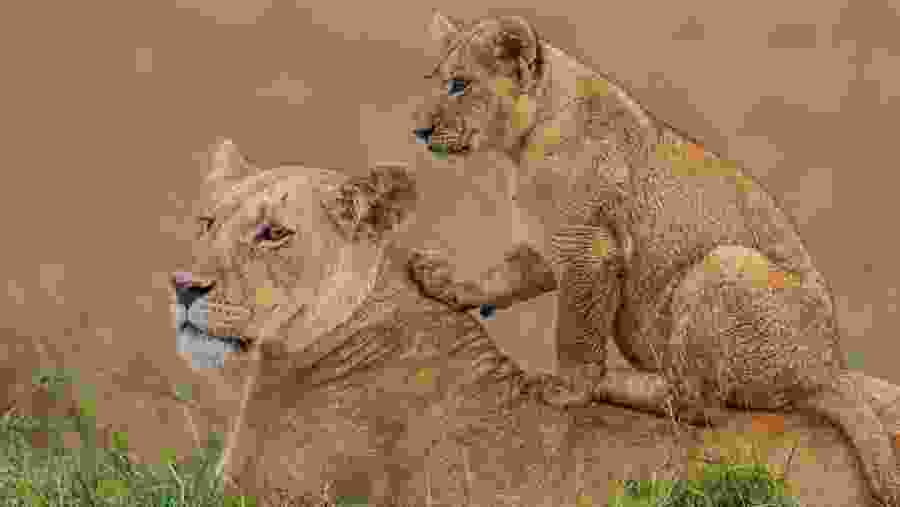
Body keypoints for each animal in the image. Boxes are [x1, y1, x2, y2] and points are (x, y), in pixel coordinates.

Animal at [407, 11, 900, 505]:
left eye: (459, 84)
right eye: (438, 81)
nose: (419, 131)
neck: (523, 146)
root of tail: (829, 369)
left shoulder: (589, 249)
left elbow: (574, 331)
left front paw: (570, 388)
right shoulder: (548, 244)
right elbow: (501, 275)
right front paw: (445, 282)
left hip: (722, 265)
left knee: (698, 404)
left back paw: (611, 381)